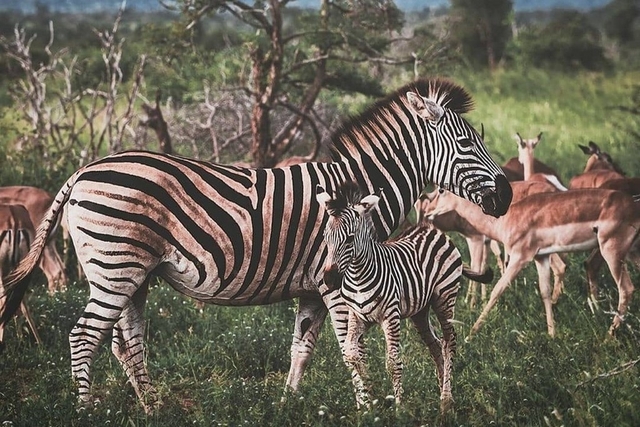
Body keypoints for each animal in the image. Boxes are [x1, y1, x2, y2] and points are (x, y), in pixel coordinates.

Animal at [318, 182, 492, 412]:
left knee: (449, 341)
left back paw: (446, 399)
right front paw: (371, 393)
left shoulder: (390, 317)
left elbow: (393, 362)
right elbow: (351, 355)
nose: (329, 280)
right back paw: (441, 388)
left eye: (350, 238)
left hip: (445, 298)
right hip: (420, 310)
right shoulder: (357, 317)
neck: (357, 277)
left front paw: (400, 407)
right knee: (435, 344)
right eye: (325, 237)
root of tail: (432, 230)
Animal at [422, 189, 636, 340]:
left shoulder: (520, 257)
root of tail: (632, 204)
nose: (428, 210)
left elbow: (497, 290)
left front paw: (470, 334)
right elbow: (544, 291)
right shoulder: (541, 257)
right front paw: (552, 334)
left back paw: (609, 336)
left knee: (626, 288)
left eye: (441, 190)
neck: (507, 218)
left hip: (612, 251)